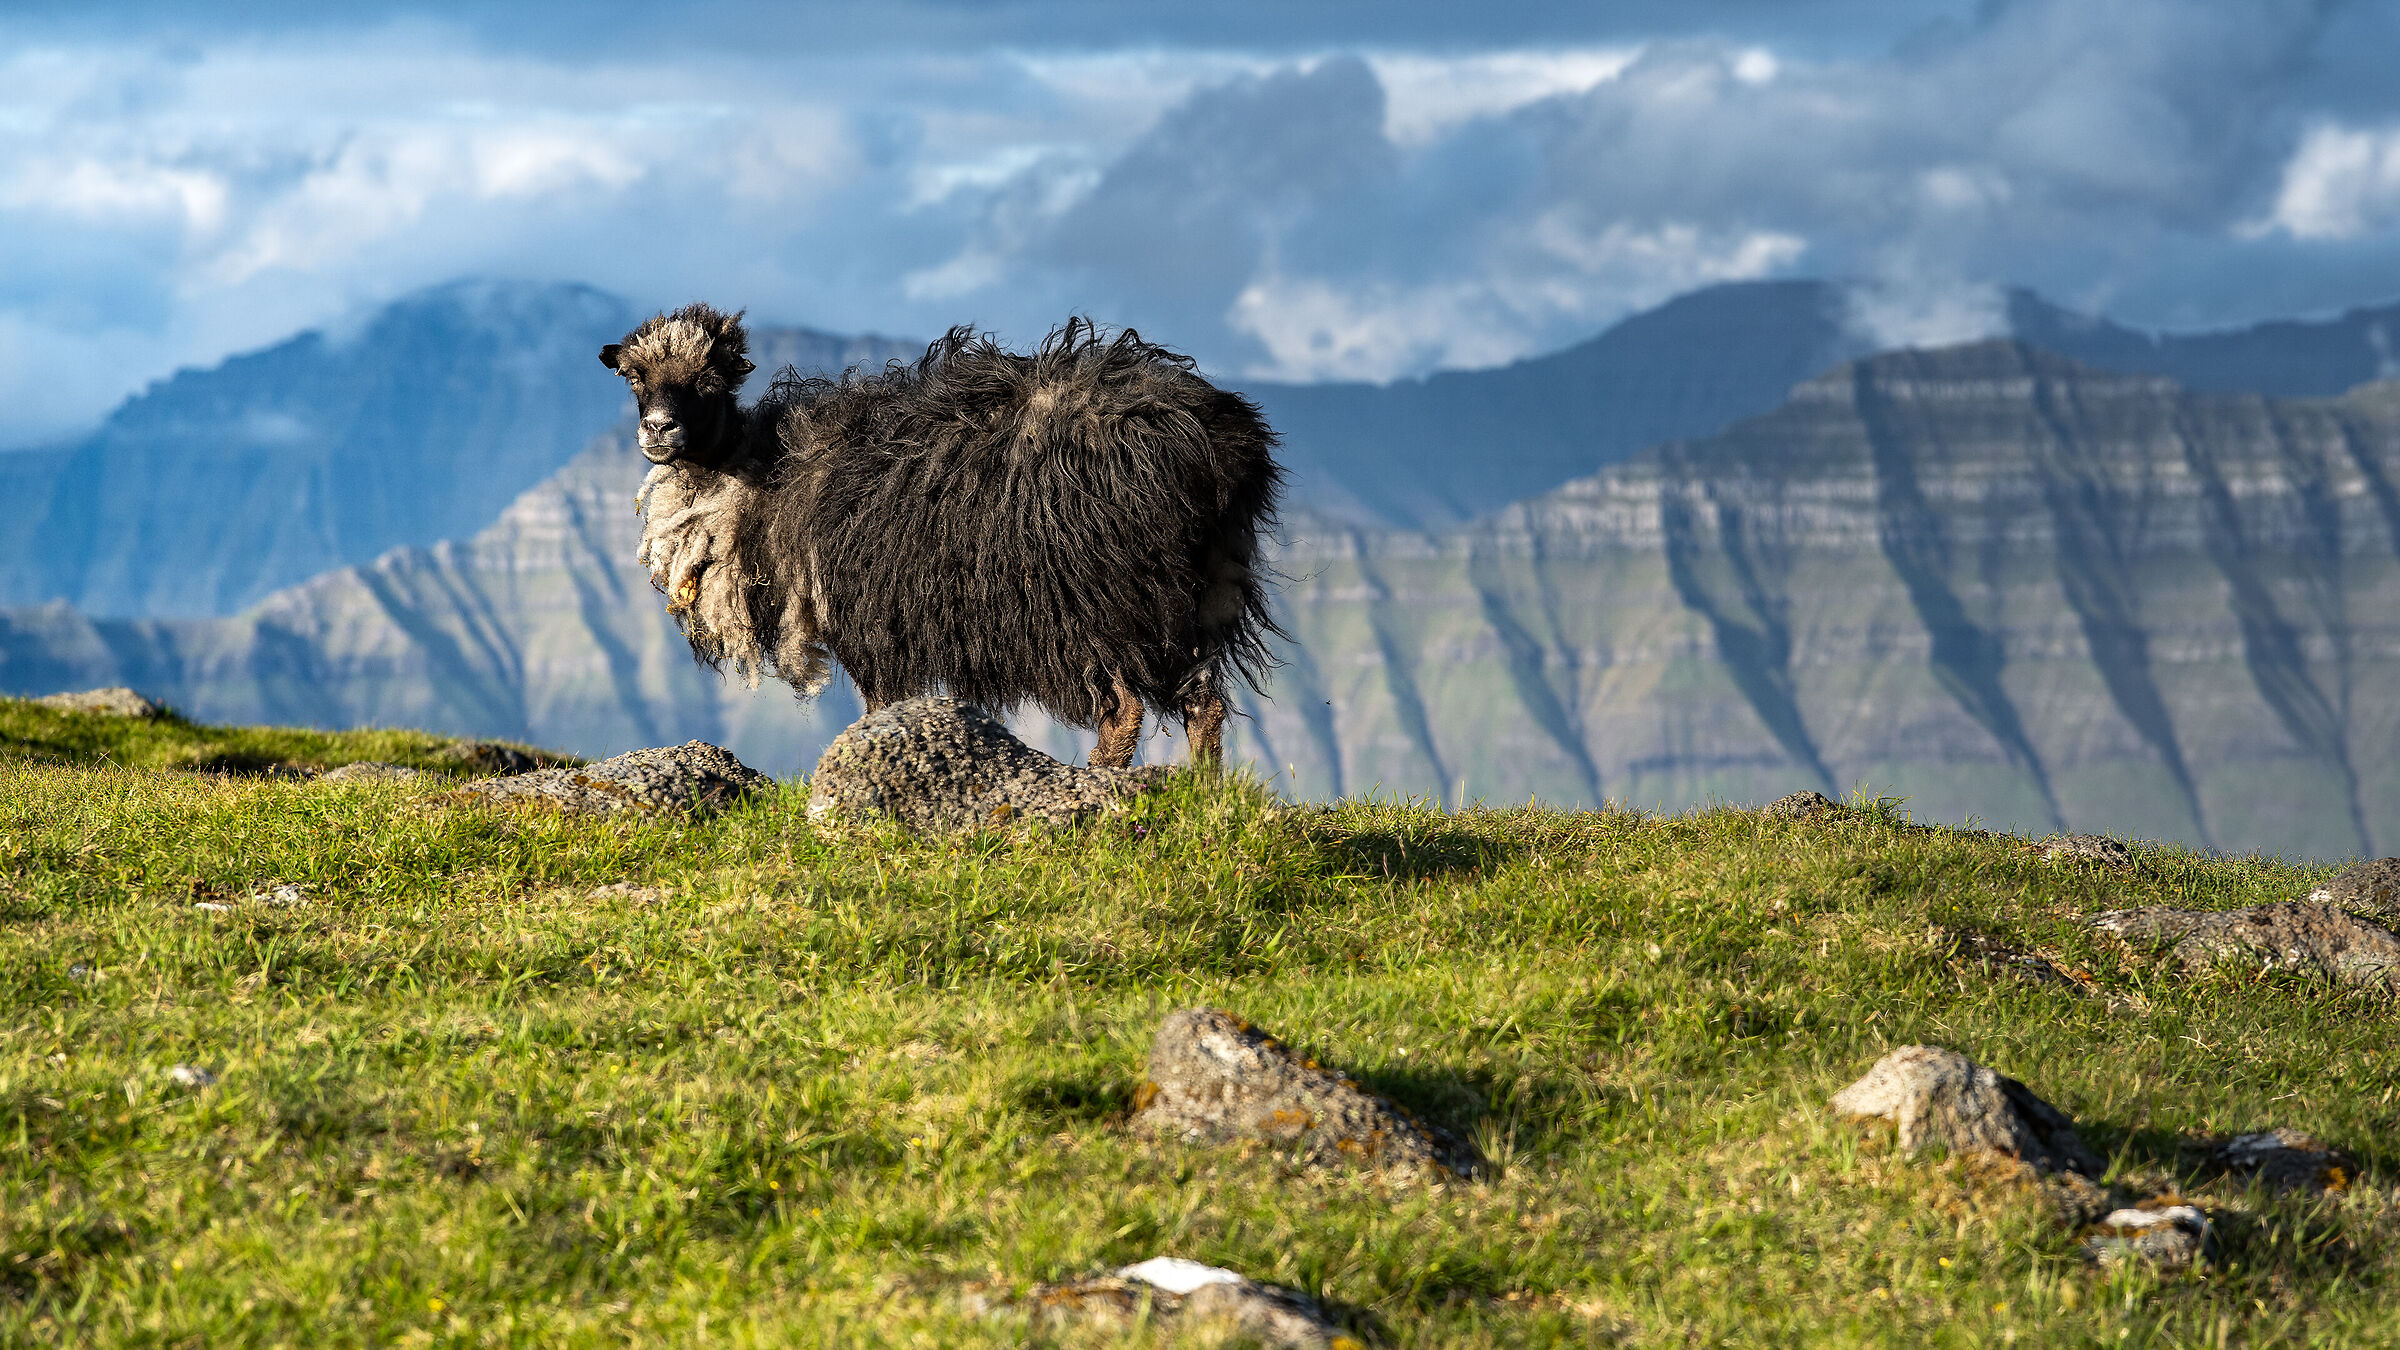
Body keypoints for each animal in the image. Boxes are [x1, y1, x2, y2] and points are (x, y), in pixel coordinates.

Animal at [603, 303, 1284, 767]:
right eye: (635, 378)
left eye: (710, 379)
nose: (659, 429)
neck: (760, 477)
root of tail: (1212, 442)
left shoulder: (868, 622)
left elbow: (879, 709)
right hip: (1187, 595)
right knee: (1204, 703)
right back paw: (1200, 797)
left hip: (1090, 598)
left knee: (1123, 710)